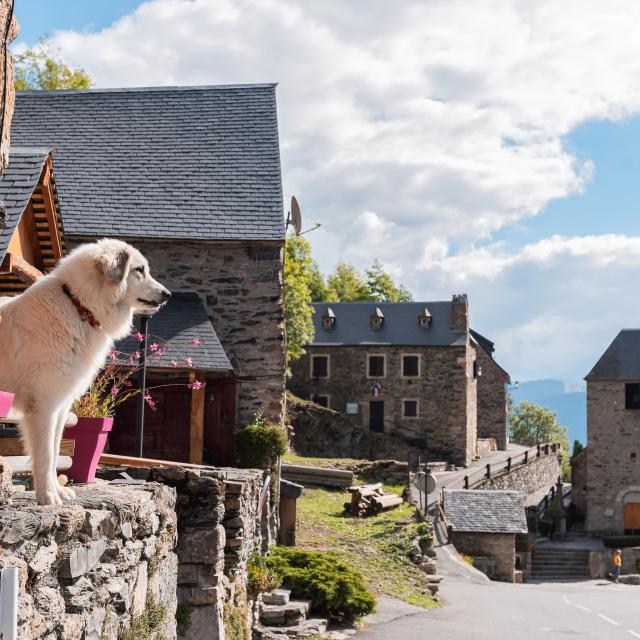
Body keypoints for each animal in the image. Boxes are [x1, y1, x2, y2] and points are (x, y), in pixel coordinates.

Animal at [0, 240, 170, 504]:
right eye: (139, 270)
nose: (167, 295)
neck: (78, 305)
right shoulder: (44, 405)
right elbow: (45, 454)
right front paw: (48, 497)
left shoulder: (60, 406)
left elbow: (55, 451)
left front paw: (57, 491)